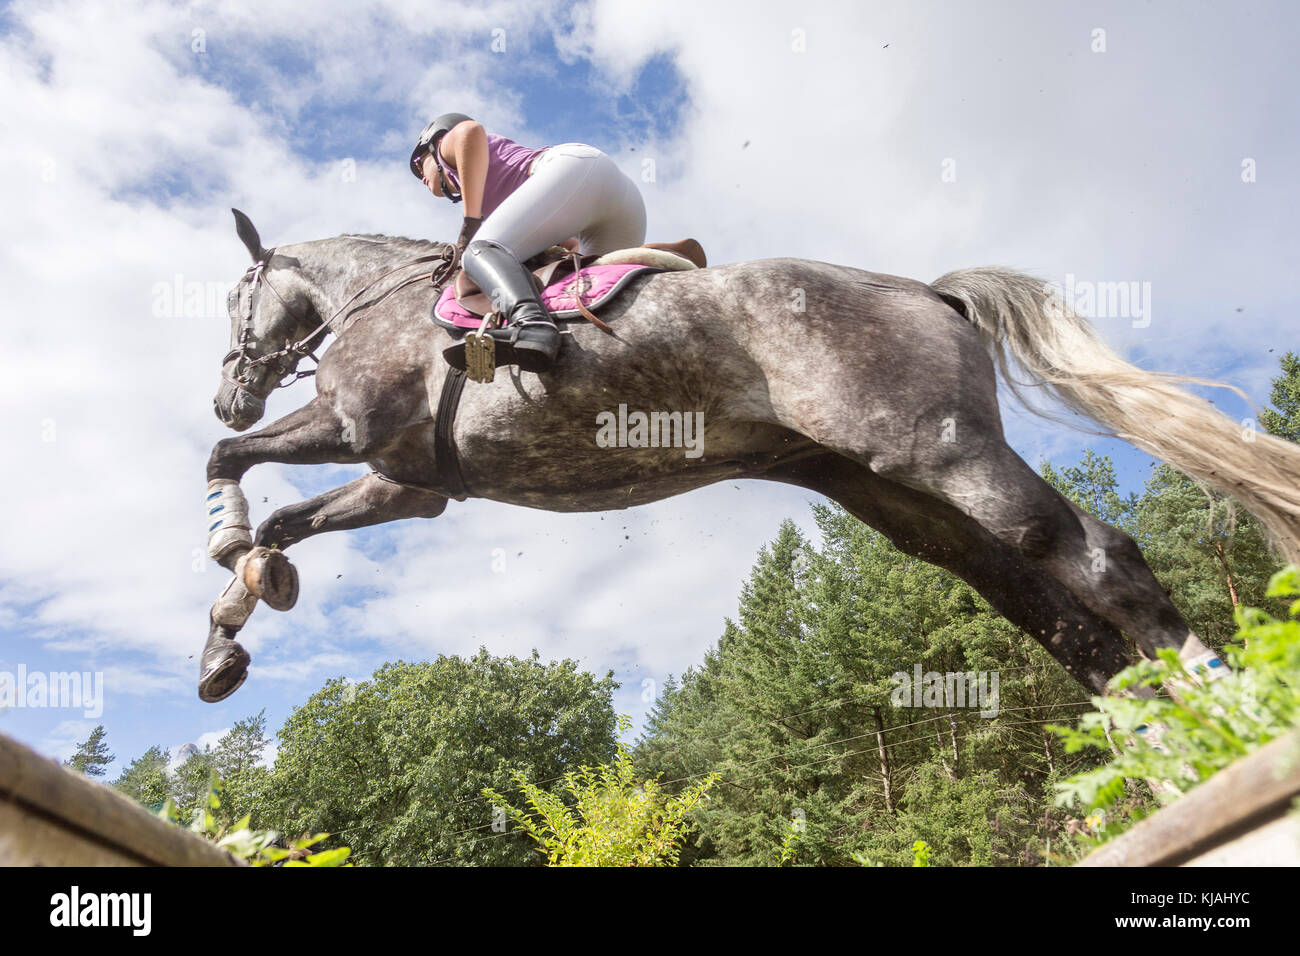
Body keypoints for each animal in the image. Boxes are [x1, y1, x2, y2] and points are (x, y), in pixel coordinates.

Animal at [202, 210, 1300, 702]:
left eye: (232, 301)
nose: (227, 382)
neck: (373, 299)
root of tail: (927, 290)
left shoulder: (347, 426)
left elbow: (226, 460)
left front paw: (226, 552)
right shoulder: (410, 480)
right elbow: (287, 516)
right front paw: (231, 627)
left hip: (939, 453)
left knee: (1088, 552)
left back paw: (1224, 707)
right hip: (883, 486)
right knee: (1039, 603)